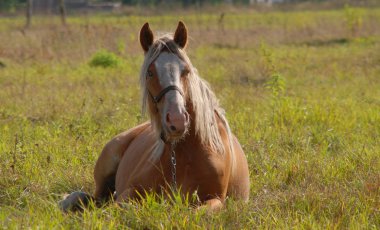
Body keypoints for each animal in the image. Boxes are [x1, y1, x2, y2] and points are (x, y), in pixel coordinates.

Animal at [58, 21, 249, 212]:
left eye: (186, 71)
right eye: (150, 73)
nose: (177, 121)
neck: (184, 154)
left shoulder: (216, 199)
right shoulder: (130, 190)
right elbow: (122, 206)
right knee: (91, 197)